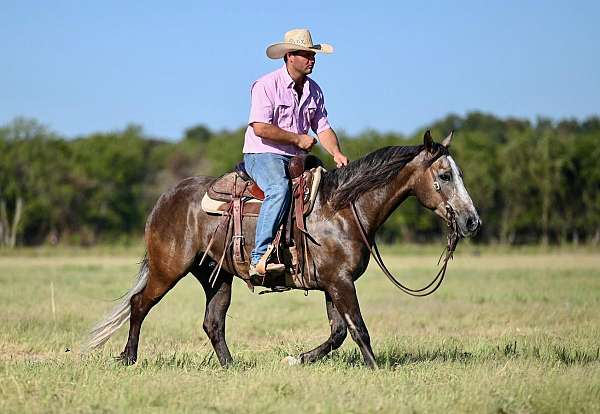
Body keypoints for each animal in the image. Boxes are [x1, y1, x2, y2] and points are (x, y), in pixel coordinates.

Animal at [86, 131, 482, 368]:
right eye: (445, 175)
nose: (471, 221)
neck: (341, 209)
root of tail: (165, 199)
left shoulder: (332, 284)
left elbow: (338, 332)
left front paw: (299, 359)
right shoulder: (340, 283)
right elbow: (358, 329)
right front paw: (375, 369)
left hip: (216, 276)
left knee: (213, 322)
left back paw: (231, 367)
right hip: (168, 269)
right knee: (140, 304)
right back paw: (128, 358)